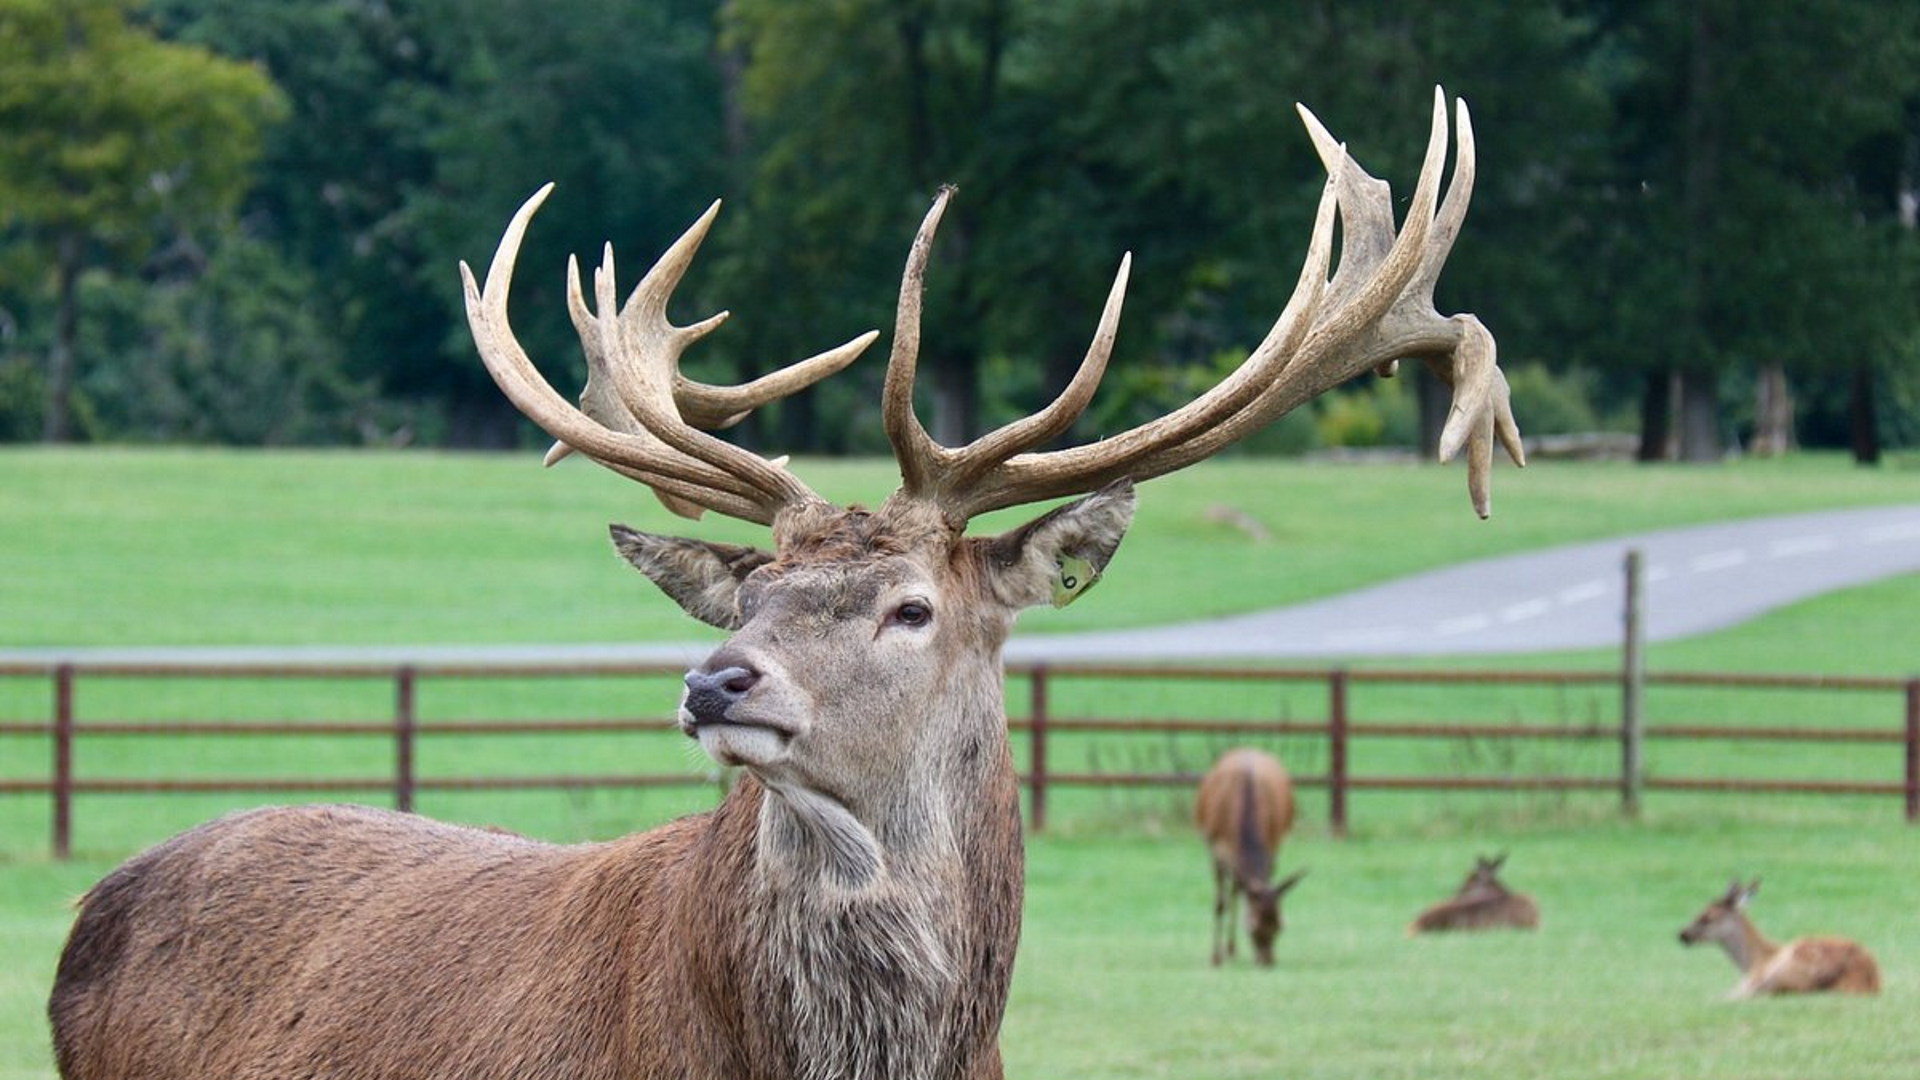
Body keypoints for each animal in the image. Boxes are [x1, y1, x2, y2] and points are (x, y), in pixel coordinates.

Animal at [1190, 745, 1313, 960]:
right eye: (1253, 927)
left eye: (1279, 926)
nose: (1268, 961)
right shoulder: (1214, 847)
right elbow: (1220, 904)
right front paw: (1215, 957)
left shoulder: (1272, 844)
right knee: (1233, 891)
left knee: (1237, 889)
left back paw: (1232, 949)